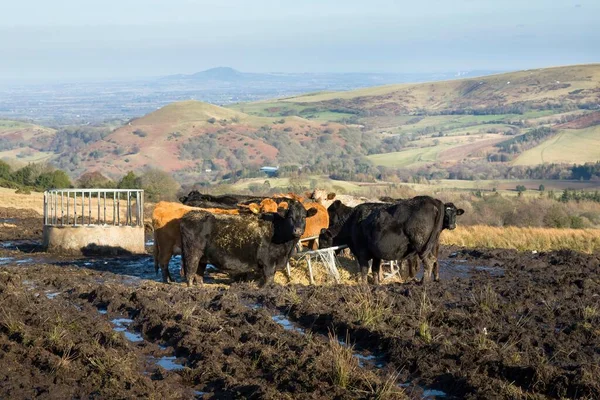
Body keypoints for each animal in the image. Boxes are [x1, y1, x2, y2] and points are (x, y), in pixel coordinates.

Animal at [179, 200, 316, 288]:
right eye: (290, 217)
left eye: (304, 217)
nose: (298, 230)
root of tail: (191, 214)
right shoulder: (268, 262)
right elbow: (268, 280)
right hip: (192, 254)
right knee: (190, 274)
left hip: (203, 257)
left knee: (198, 275)